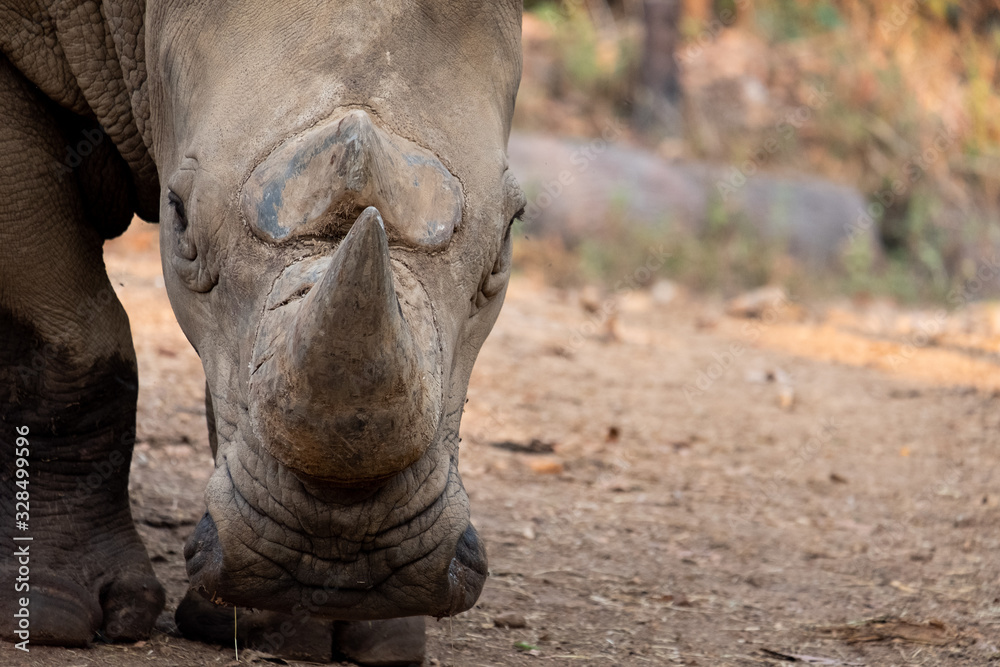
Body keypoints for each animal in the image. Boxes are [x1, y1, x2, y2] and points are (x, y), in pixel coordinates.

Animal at [0, 1, 524, 663]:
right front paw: (51, 615)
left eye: (508, 236)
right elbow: (70, 337)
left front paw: (303, 629)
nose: (340, 564)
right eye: (179, 219)